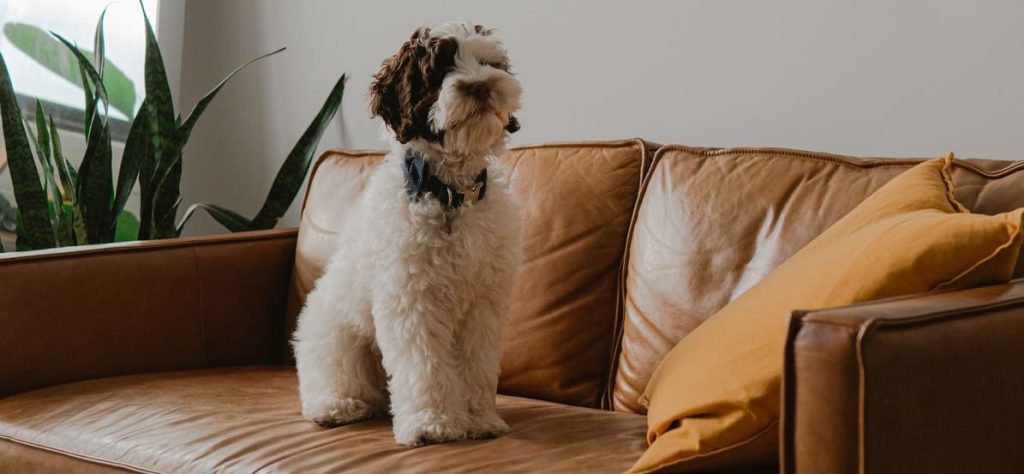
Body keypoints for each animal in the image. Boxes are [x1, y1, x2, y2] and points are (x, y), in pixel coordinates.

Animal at [292, 20, 524, 446]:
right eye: (439, 69)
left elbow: (477, 364)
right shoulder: (414, 300)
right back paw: (334, 407)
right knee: (331, 382)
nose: (481, 85)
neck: (448, 195)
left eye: (489, 63)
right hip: (337, 340)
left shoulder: (484, 304)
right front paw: (433, 423)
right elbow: (427, 366)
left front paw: (479, 419)